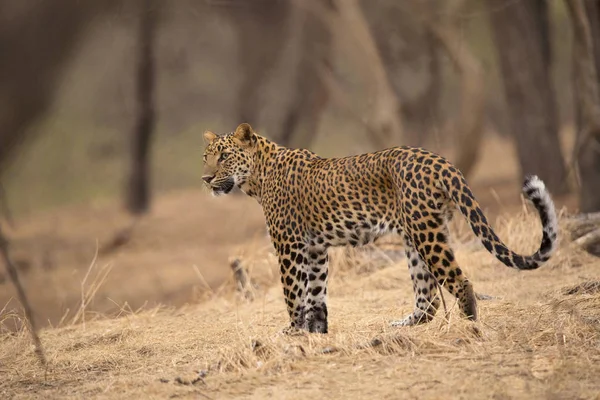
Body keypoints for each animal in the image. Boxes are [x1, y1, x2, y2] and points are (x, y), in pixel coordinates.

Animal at [202, 122, 556, 334]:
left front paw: (291, 332)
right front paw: (316, 333)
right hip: (417, 237)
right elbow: (315, 294)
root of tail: (441, 161)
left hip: (425, 234)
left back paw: (468, 328)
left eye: (224, 157)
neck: (257, 179)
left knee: (459, 282)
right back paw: (400, 325)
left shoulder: (289, 245)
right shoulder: (315, 248)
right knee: (428, 299)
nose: (205, 179)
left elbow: (292, 292)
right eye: (205, 157)